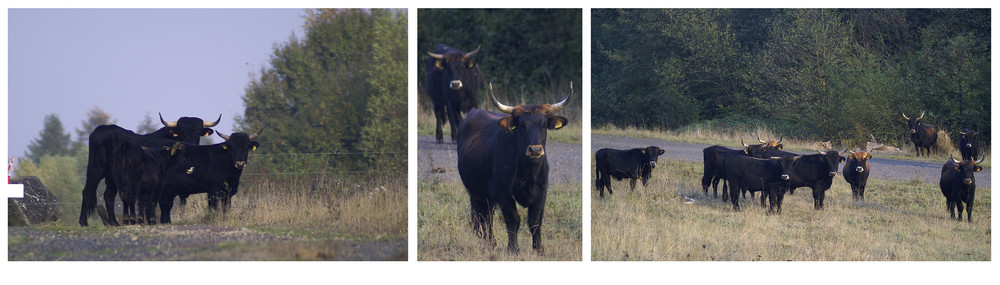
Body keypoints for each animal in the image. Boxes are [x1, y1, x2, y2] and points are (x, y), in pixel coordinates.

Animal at [78, 113, 221, 226]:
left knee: (109, 195)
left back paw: (114, 223)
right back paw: (84, 222)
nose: (190, 144)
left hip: (112, 178)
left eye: (198, 132)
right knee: (87, 191)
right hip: (94, 171)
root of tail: (101, 128)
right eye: (182, 132)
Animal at [458, 81, 572, 251]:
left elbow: (535, 222)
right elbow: (513, 220)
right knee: (484, 218)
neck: (528, 173)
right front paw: (513, 249)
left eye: (544, 124)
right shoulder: (504, 193)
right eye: (521, 125)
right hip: (476, 192)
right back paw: (491, 243)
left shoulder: (542, 191)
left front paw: (539, 249)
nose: (535, 149)